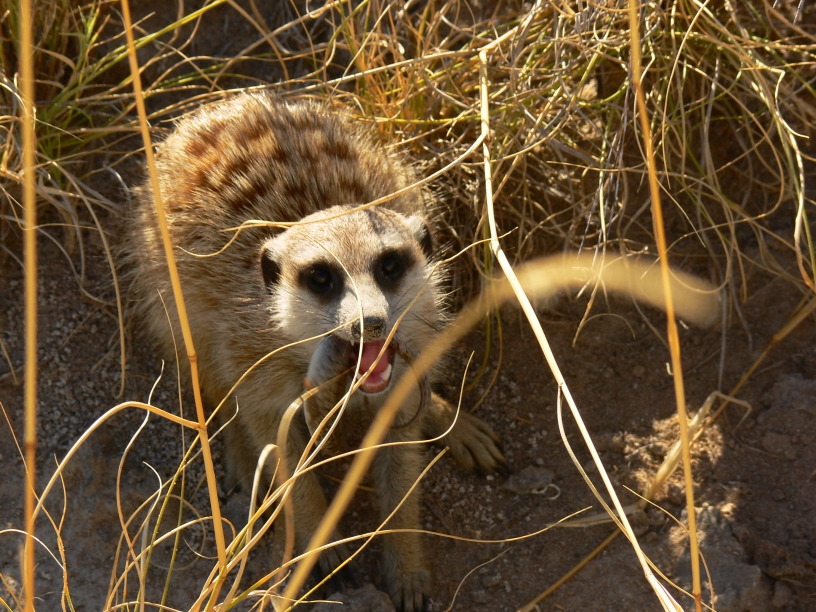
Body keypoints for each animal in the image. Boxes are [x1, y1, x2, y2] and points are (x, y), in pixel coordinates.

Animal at [124, 92, 506, 611]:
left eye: (390, 265)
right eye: (322, 277)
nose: (370, 322)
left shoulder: (403, 373)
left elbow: (400, 465)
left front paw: (407, 570)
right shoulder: (257, 363)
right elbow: (279, 446)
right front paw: (319, 547)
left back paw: (451, 418)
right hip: (168, 292)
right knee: (208, 375)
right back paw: (240, 456)